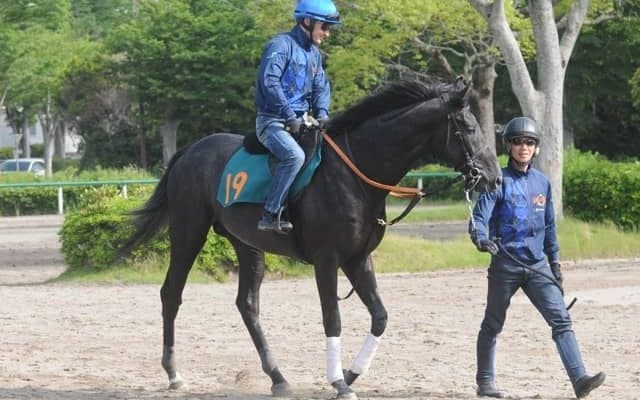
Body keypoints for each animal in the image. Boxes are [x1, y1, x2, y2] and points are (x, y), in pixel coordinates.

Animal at [120, 77, 502, 399]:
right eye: (469, 128)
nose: (494, 178)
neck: (354, 175)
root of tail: (191, 150)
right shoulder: (327, 259)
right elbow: (333, 318)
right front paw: (339, 382)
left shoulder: (358, 259)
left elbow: (380, 316)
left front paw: (350, 374)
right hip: (188, 232)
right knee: (171, 294)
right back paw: (173, 373)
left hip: (248, 245)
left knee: (248, 305)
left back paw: (278, 377)